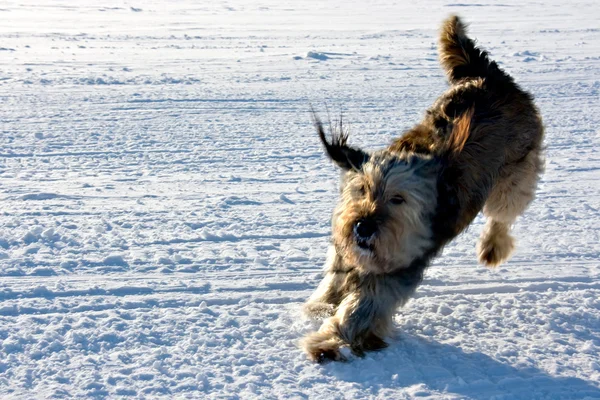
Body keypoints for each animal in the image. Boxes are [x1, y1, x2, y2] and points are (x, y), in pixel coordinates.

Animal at [300, 15, 544, 362]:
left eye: (398, 199)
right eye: (362, 189)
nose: (363, 227)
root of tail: (488, 75)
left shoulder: (396, 272)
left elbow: (360, 309)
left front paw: (326, 341)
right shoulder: (346, 256)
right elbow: (333, 286)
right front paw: (320, 307)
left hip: (515, 174)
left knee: (503, 214)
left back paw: (492, 248)